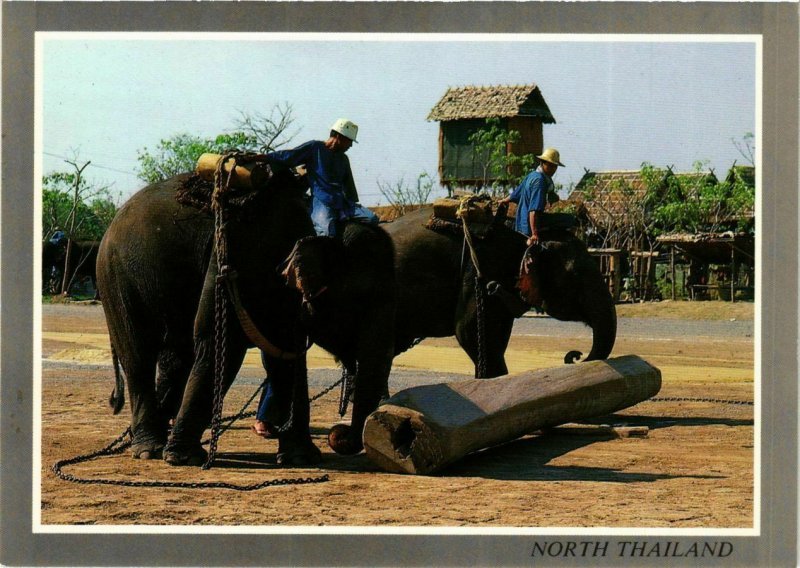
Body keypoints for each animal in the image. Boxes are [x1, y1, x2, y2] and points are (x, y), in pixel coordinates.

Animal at [97, 171, 396, 468]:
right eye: (361, 300)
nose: (339, 434)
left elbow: (285, 354)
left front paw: (301, 458)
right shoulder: (239, 254)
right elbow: (222, 344)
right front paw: (185, 458)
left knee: (176, 358)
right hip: (117, 280)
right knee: (138, 356)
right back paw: (150, 449)